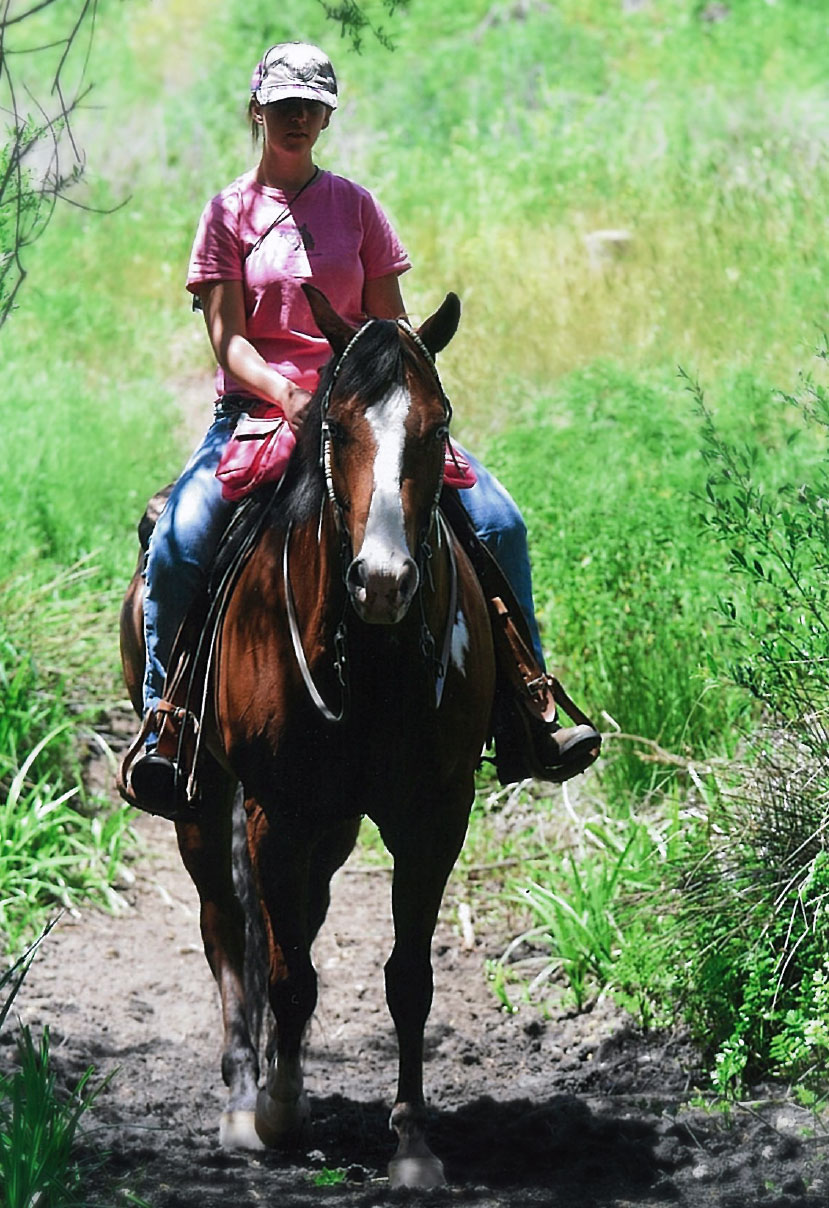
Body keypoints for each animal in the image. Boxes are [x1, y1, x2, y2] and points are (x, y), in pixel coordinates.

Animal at [120, 285, 497, 1188]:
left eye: (439, 424)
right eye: (337, 425)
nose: (384, 581)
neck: (367, 655)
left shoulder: (435, 814)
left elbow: (407, 978)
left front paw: (412, 1140)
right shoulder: (271, 811)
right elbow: (286, 972)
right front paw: (280, 1111)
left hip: (331, 826)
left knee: (297, 916)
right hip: (201, 801)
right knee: (227, 927)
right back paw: (240, 1097)